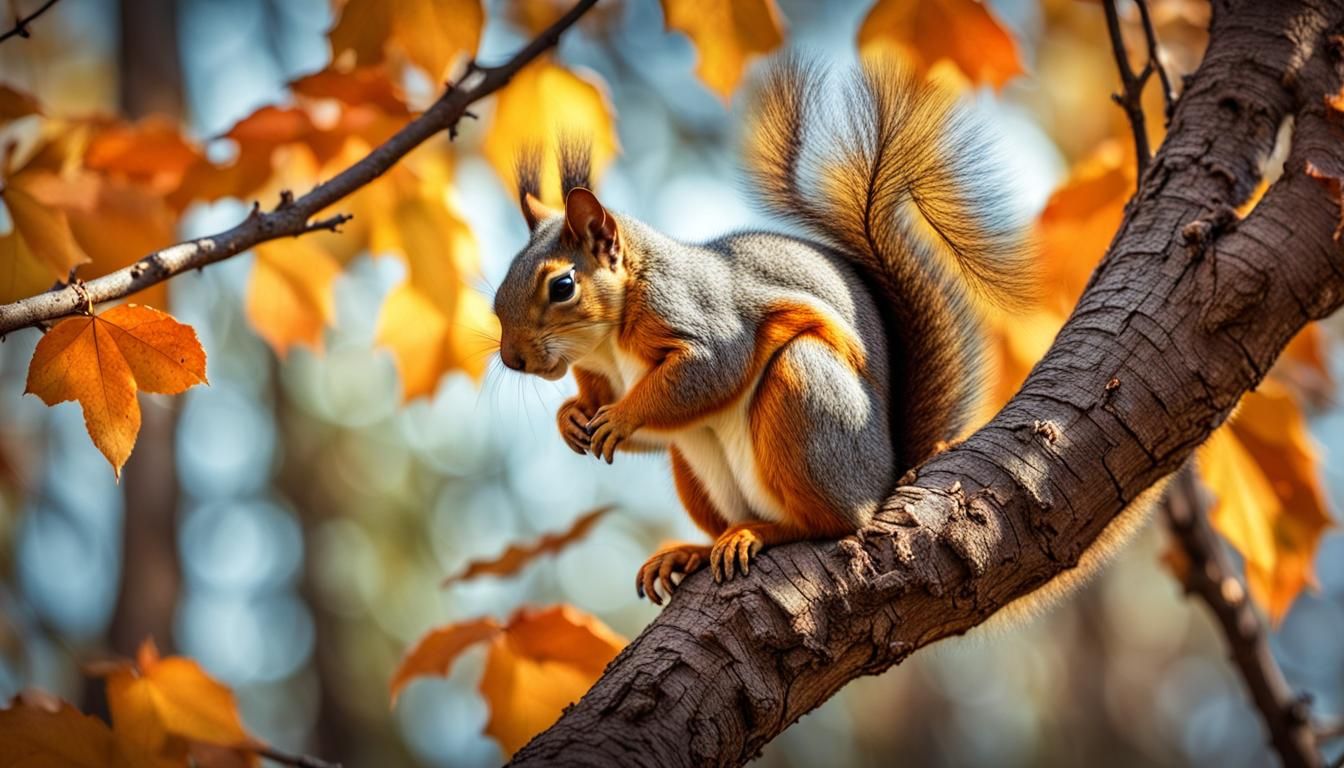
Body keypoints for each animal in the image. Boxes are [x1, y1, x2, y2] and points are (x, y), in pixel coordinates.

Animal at [492, 54, 1032, 605]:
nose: (513, 359)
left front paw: (622, 416)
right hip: (696, 473)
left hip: (808, 399)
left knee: (836, 521)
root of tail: (887, 473)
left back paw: (763, 531)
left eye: (562, 286)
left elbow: (706, 374)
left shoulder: (705, 320)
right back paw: (691, 552)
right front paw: (570, 418)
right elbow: (631, 425)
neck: (606, 345)